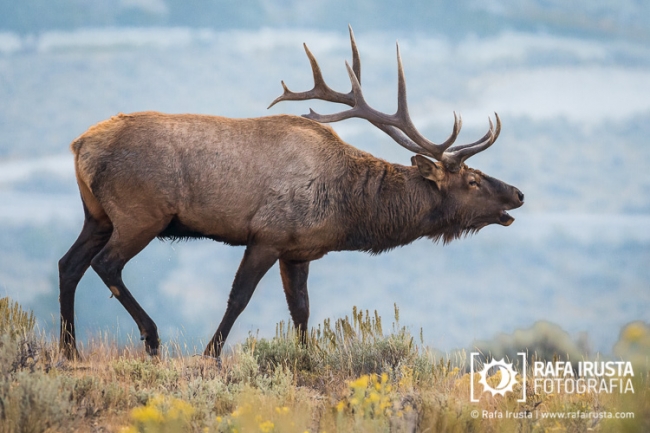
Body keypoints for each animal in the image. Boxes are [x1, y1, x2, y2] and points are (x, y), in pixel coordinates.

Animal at [58, 26, 524, 360]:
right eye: (473, 180)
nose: (518, 194)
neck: (347, 209)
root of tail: (79, 146)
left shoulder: (298, 251)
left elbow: (301, 309)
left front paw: (305, 359)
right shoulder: (268, 235)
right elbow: (239, 298)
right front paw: (210, 354)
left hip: (97, 215)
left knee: (69, 264)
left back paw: (69, 348)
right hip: (140, 214)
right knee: (105, 264)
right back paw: (151, 338)